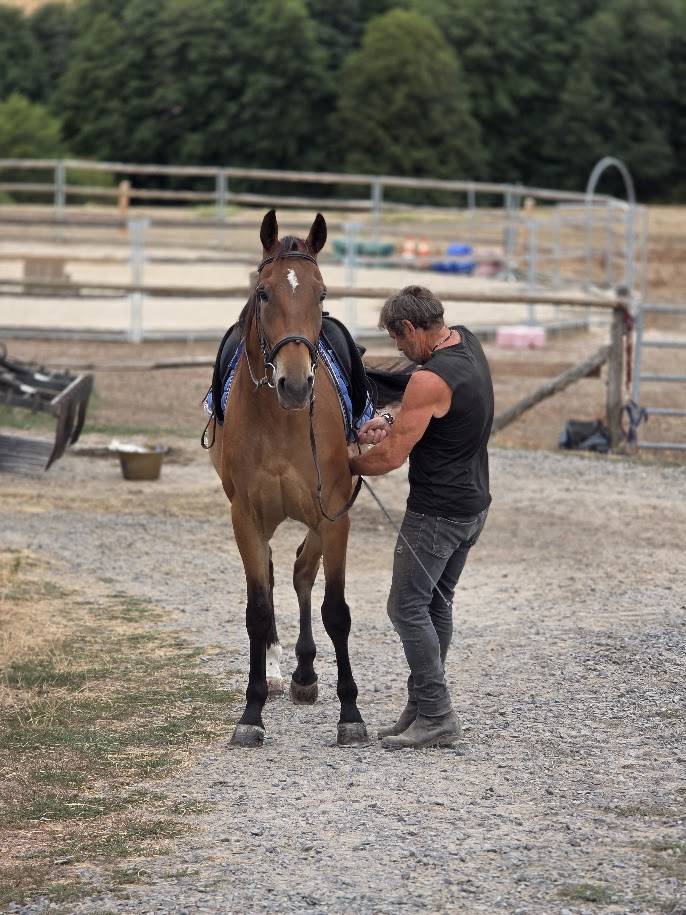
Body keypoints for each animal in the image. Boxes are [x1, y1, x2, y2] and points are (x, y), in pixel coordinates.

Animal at [207, 210, 369, 749]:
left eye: (321, 293)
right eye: (263, 293)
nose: (295, 384)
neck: (281, 422)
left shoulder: (334, 514)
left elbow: (335, 610)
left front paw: (350, 714)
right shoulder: (245, 519)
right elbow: (258, 611)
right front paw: (252, 711)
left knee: (301, 571)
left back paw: (304, 674)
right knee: (282, 574)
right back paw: (282, 674)